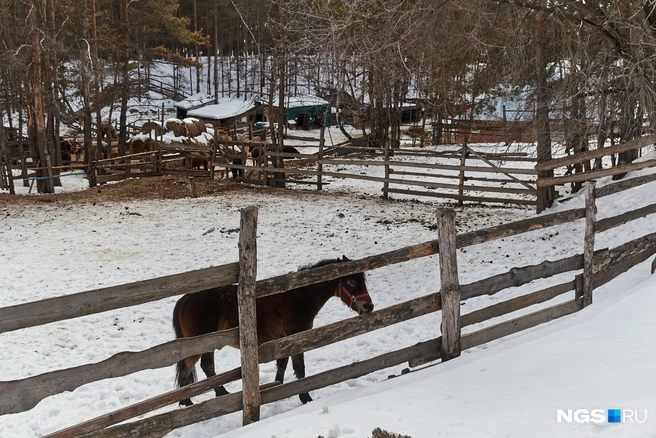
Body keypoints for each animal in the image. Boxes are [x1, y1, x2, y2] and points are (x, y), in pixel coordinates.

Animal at [172, 256, 372, 408]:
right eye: (351, 281)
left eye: (362, 280)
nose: (368, 306)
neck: (300, 296)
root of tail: (184, 299)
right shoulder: (296, 338)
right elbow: (299, 368)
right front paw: (305, 397)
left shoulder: (283, 341)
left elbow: (282, 365)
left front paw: (277, 389)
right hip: (198, 346)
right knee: (186, 371)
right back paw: (187, 403)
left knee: (207, 367)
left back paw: (221, 393)